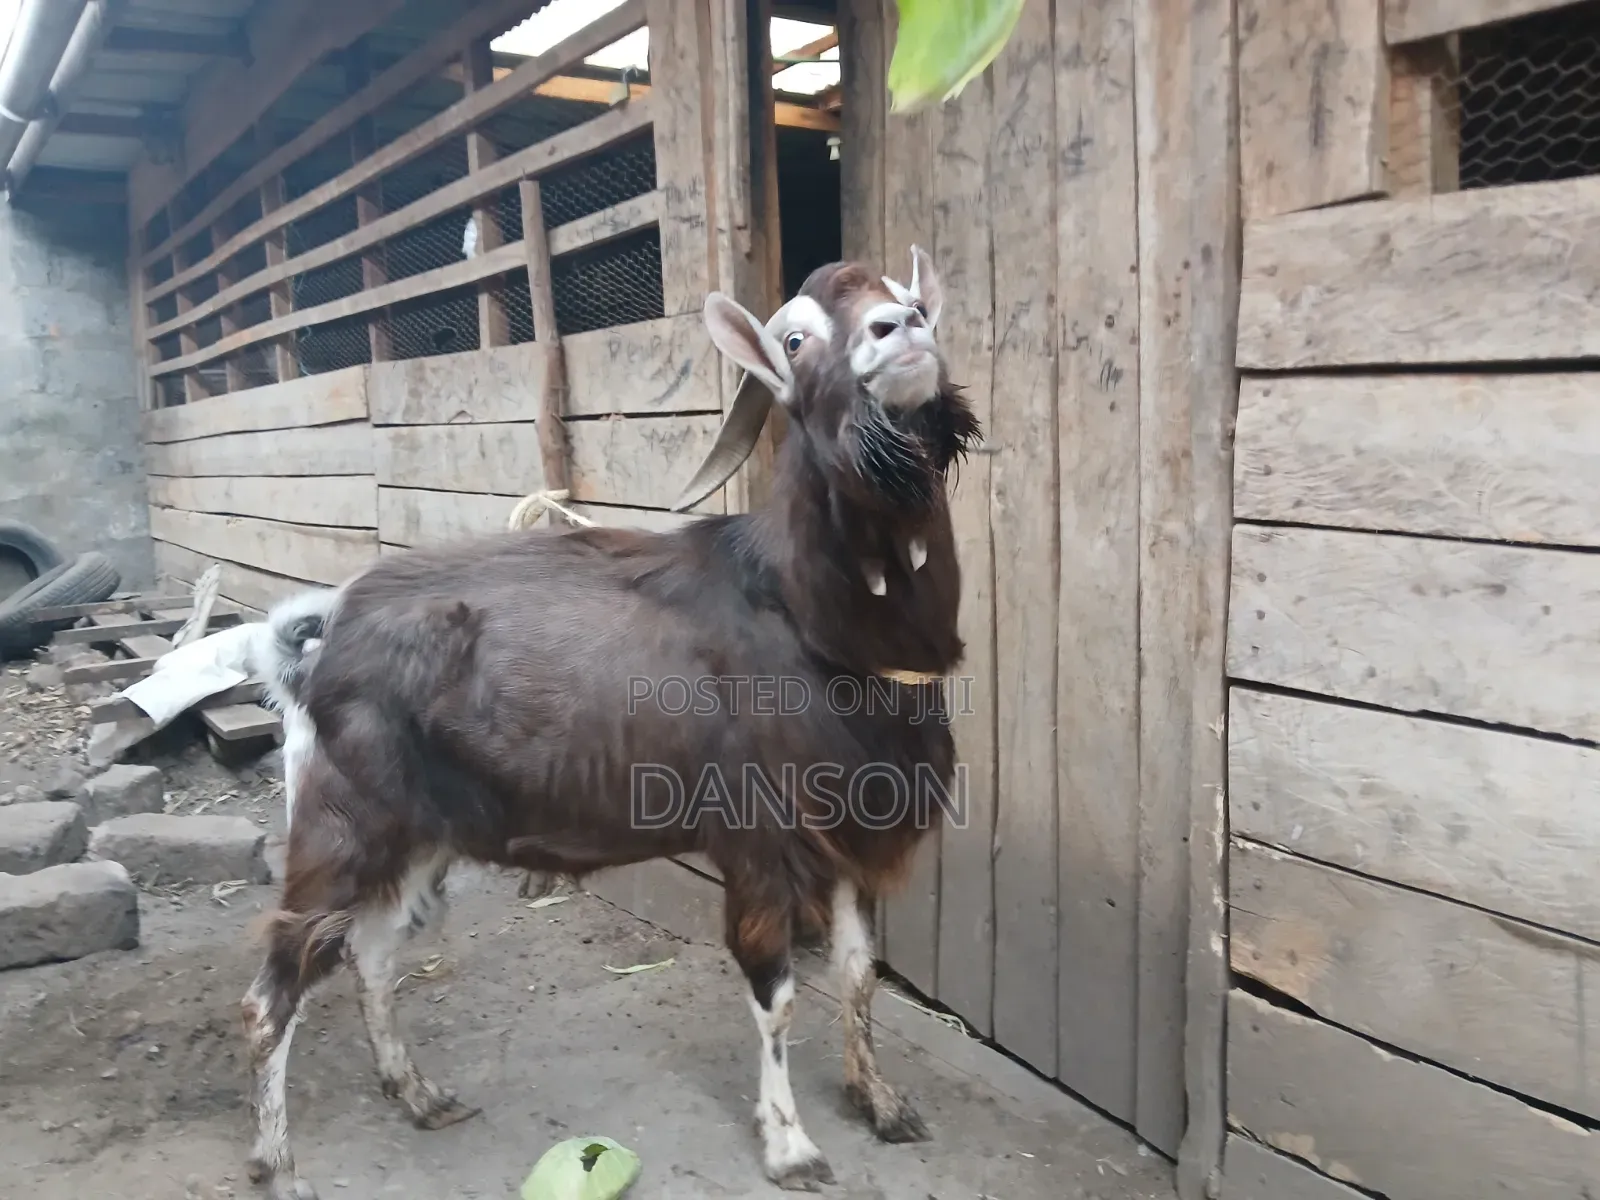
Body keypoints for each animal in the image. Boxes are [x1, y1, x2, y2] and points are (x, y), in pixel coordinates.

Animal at [239, 248, 981, 1198]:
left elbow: (856, 977)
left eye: (909, 296)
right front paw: (790, 1145)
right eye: (795, 338)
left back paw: (418, 1094)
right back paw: (278, 1162)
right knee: (278, 982)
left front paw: (880, 1103)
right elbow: (776, 996)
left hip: (422, 832)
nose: (901, 331)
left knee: (370, 955)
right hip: (341, 825)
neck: (811, 622)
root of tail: (316, 644)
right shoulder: (756, 838)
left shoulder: (853, 832)